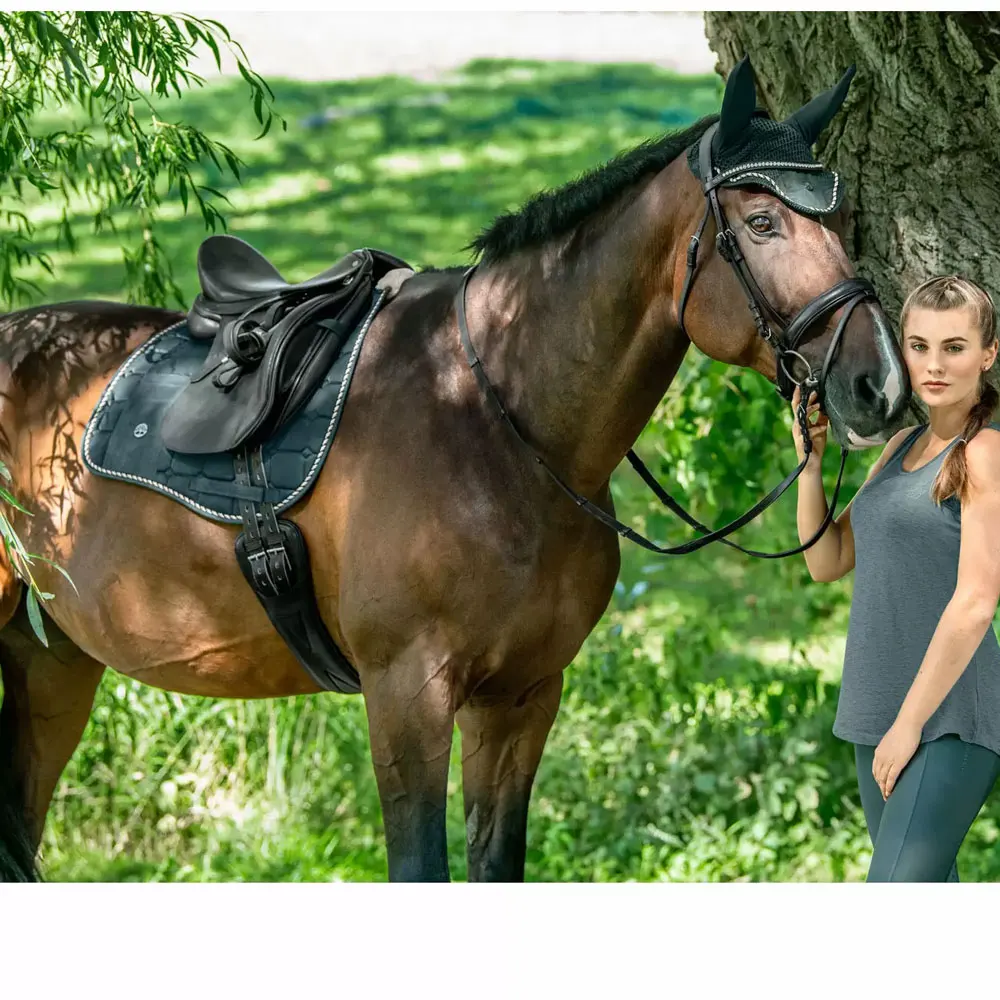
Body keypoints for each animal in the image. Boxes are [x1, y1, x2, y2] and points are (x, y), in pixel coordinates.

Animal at [0, 58, 910, 881]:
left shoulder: (523, 698)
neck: (496, 424)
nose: (882, 384)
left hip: (52, 660)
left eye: (842, 221)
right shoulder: (406, 700)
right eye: (760, 223)